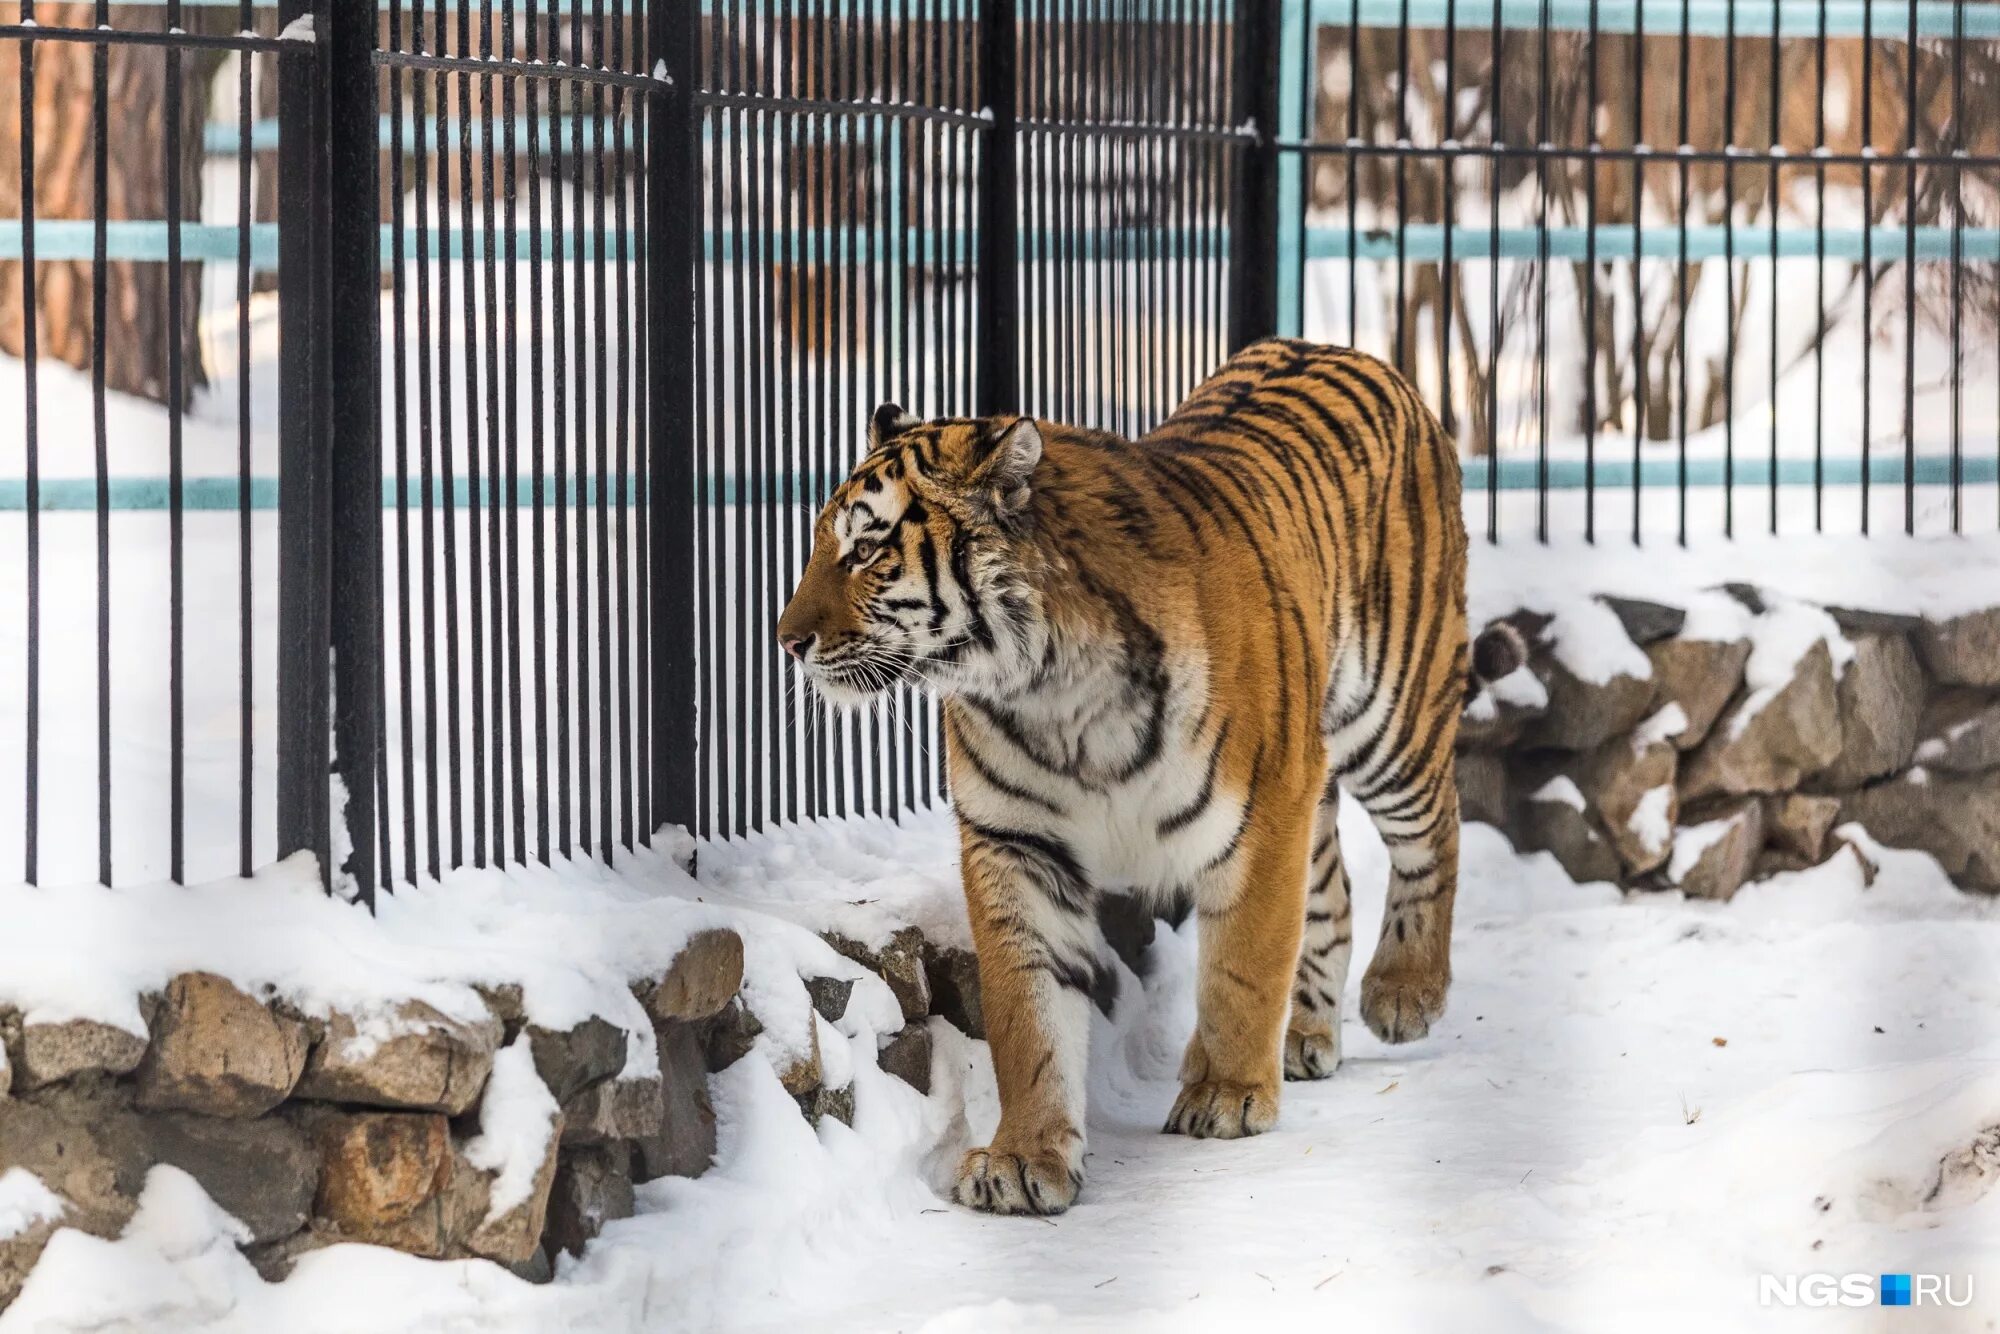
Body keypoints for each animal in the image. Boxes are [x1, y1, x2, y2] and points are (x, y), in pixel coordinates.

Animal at [780, 340, 1488, 1216]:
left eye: (868, 550)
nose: (785, 640)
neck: (1044, 686)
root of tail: (1345, 349)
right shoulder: (1016, 841)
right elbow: (1027, 1016)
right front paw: (1025, 1156)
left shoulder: (1263, 812)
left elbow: (1242, 966)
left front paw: (1226, 1095)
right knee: (1332, 890)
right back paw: (1306, 1038)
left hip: (1392, 714)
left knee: (1436, 829)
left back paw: (1402, 992)